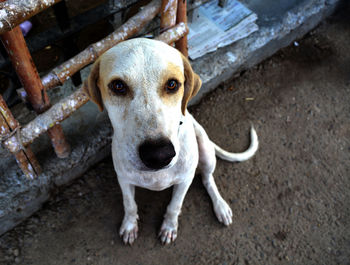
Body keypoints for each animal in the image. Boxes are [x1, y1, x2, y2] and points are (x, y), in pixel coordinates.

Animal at [83, 37, 258, 243]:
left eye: (172, 84)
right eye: (118, 86)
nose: (158, 155)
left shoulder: (184, 180)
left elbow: (174, 206)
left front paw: (169, 226)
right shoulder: (124, 180)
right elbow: (129, 204)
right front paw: (130, 225)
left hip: (205, 151)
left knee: (207, 179)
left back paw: (220, 206)